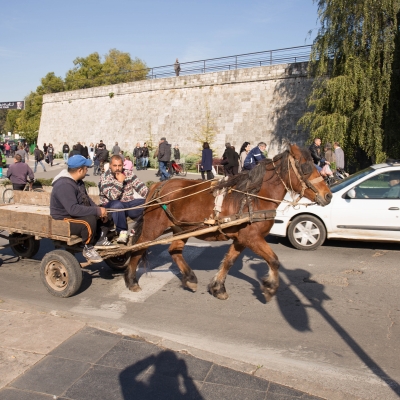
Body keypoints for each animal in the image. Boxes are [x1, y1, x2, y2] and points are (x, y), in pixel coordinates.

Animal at [125, 145, 332, 302]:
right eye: (305, 167)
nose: (328, 195)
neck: (253, 197)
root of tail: (158, 185)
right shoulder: (252, 238)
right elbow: (273, 260)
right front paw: (270, 287)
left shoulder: (241, 239)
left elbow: (229, 261)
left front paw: (218, 288)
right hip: (153, 228)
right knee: (138, 248)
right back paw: (131, 280)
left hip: (181, 229)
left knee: (173, 251)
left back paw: (190, 278)